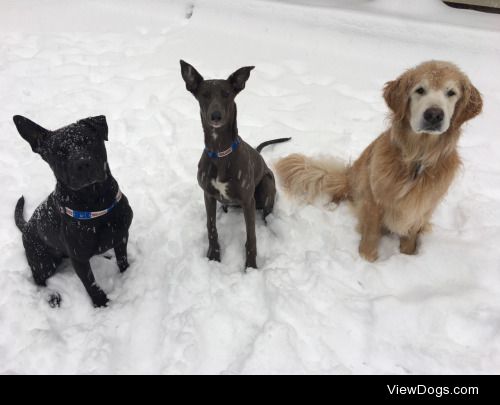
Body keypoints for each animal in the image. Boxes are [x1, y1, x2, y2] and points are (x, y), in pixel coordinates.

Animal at [13, 115, 134, 308]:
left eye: (89, 141)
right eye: (59, 153)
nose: (82, 163)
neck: (95, 202)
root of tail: (26, 227)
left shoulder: (121, 235)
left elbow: (122, 259)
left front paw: (127, 273)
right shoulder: (79, 259)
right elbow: (90, 283)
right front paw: (100, 303)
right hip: (43, 262)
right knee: (38, 279)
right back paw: (52, 296)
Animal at [276, 61, 482, 260]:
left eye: (451, 93)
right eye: (420, 90)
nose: (434, 115)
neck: (417, 157)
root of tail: (348, 175)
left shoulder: (422, 208)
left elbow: (410, 236)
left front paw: (407, 256)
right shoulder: (374, 198)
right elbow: (371, 233)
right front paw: (367, 258)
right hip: (358, 181)